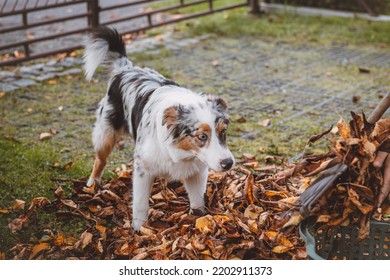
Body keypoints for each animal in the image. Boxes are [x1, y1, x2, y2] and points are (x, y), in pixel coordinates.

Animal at [83, 27, 235, 231]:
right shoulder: (142, 170)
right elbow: (140, 204)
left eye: (223, 132)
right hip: (105, 133)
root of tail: (126, 68)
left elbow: (197, 201)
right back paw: (92, 184)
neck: (182, 153)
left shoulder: (197, 171)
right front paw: (140, 230)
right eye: (202, 136)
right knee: (99, 160)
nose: (228, 163)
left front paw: (199, 220)